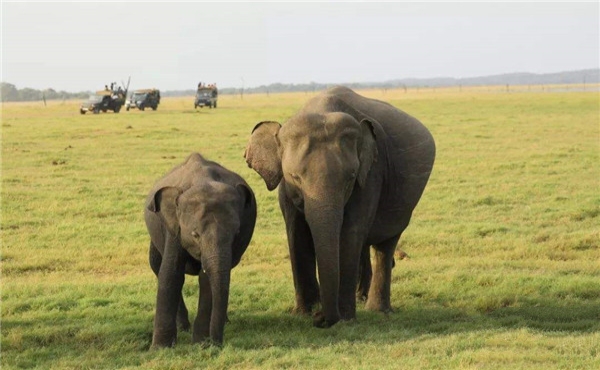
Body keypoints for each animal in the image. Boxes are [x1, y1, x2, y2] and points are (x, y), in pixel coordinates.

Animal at [147, 152, 258, 346]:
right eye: (195, 234)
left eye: (236, 233)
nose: (218, 343)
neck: (203, 179)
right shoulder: (173, 227)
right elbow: (170, 273)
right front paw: (160, 348)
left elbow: (206, 281)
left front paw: (201, 343)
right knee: (156, 266)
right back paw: (184, 327)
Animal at [244, 86, 436, 326]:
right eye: (294, 177)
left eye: (350, 177)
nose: (320, 318)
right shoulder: (285, 191)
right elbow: (296, 232)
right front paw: (303, 313)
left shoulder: (370, 175)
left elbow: (350, 232)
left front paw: (345, 319)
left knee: (385, 245)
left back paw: (377, 310)